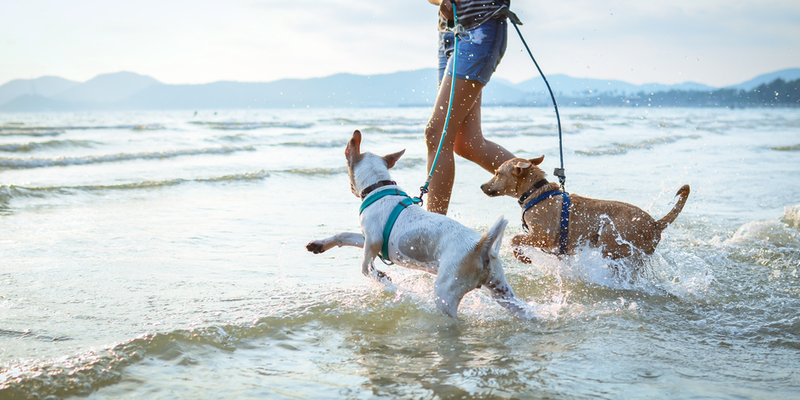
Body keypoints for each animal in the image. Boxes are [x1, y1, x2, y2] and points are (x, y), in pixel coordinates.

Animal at [306, 131, 524, 318]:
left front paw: (382, 278)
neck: (379, 187)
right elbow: (344, 236)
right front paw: (319, 245)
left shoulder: (373, 240)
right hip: (502, 291)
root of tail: (481, 247)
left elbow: (365, 267)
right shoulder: (369, 238)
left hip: (445, 293)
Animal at [478, 155, 692, 262]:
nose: (481, 186)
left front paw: (523, 257)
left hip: (610, 239)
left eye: (497, 173)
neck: (536, 193)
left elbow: (515, 239)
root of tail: (655, 223)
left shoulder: (543, 236)